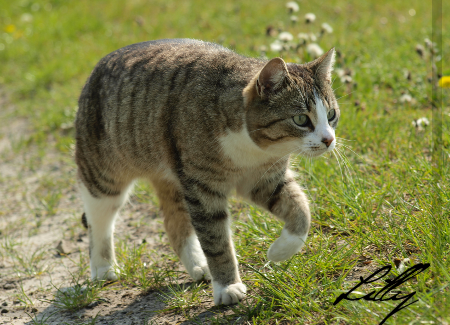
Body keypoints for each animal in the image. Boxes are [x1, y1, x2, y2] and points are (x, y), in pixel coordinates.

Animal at [76, 38, 338, 304]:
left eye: (331, 115)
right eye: (300, 119)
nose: (329, 140)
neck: (252, 149)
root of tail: (101, 64)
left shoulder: (265, 180)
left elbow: (301, 211)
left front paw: (279, 251)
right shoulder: (203, 189)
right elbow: (216, 241)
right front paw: (227, 286)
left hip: (174, 176)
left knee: (174, 221)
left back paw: (198, 264)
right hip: (103, 174)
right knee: (99, 219)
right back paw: (103, 267)